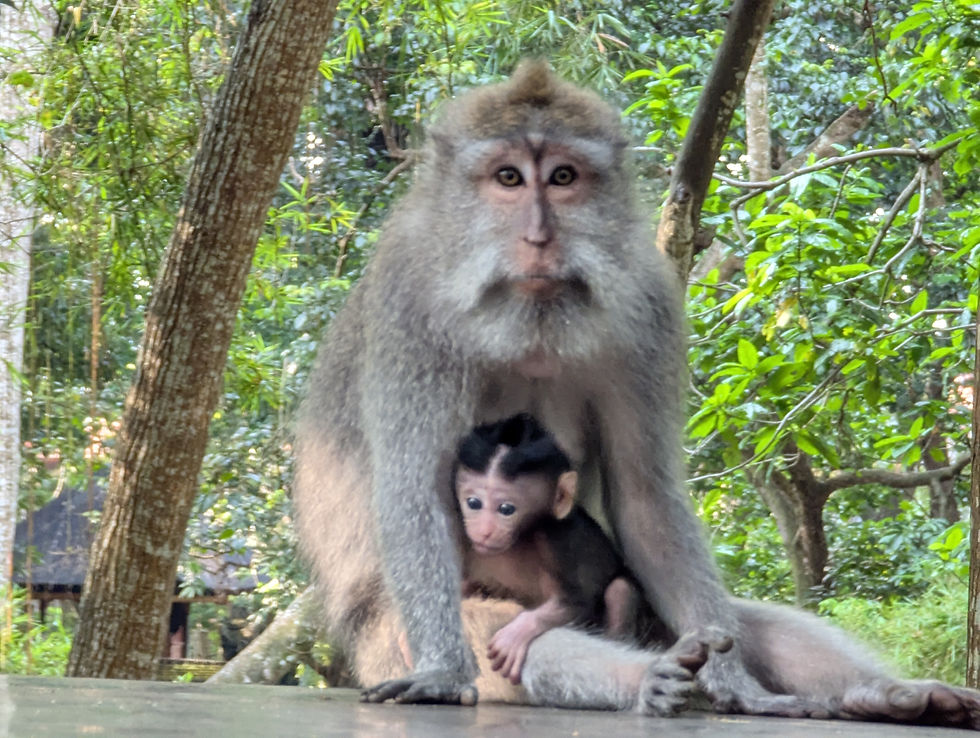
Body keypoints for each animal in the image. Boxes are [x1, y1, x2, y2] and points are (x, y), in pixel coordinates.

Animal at [292, 60, 980, 727]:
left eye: (563, 177)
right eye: (508, 177)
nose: (540, 237)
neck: (528, 316)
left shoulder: (647, 309)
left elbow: (643, 494)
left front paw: (741, 686)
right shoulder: (409, 309)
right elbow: (413, 490)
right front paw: (440, 671)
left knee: (732, 619)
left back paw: (884, 696)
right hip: (385, 642)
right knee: (509, 638)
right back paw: (651, 679)